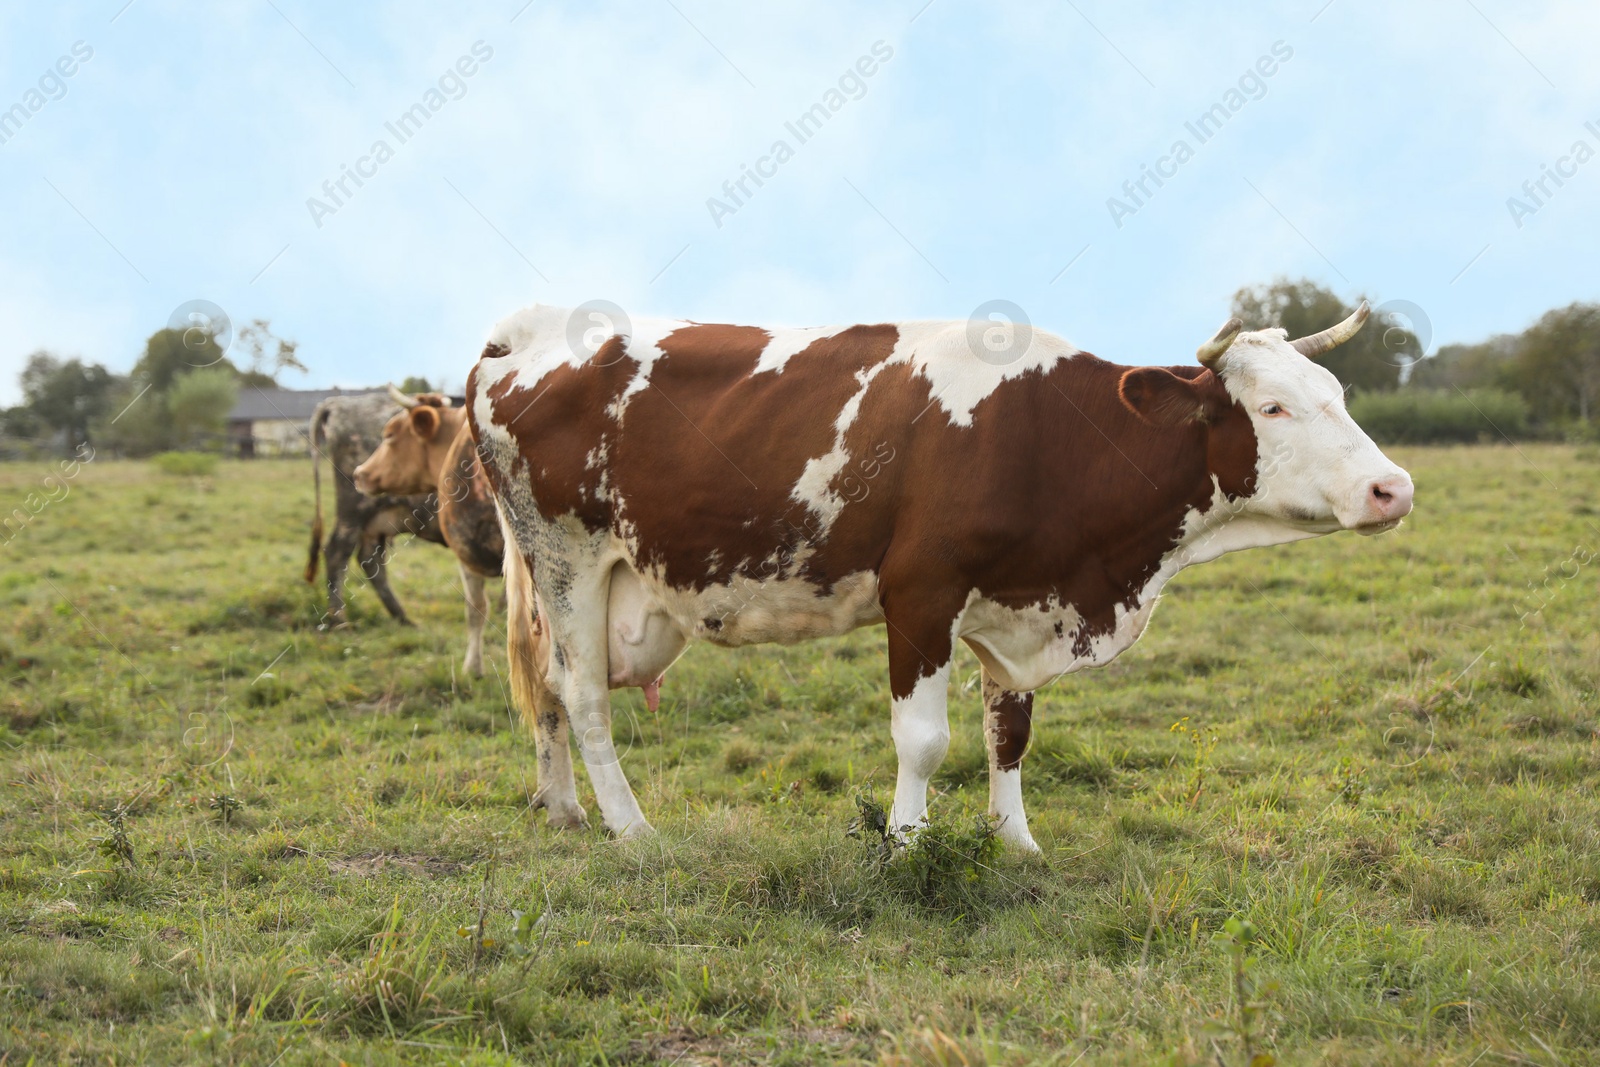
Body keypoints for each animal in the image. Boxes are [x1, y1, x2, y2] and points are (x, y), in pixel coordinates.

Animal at [305, 390, 448, 627]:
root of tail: (339, 402)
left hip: (377, 521)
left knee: (371, 559)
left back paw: (402, 617)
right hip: (355, 509)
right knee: (338, 551)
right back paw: (339, 619)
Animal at [467, 303, 1414, 844]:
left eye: (1337, 394)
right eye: (1273, 408)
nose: (1392, 487)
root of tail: (523, 330)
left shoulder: (1021, 603)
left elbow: (1010, 734)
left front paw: (1014, 843)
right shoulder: (920, 593)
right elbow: (923, 740)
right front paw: (909, 842)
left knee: (547, 692)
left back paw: (563, 807)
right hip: (568, 559)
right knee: (583, 694)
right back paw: (631, 828)